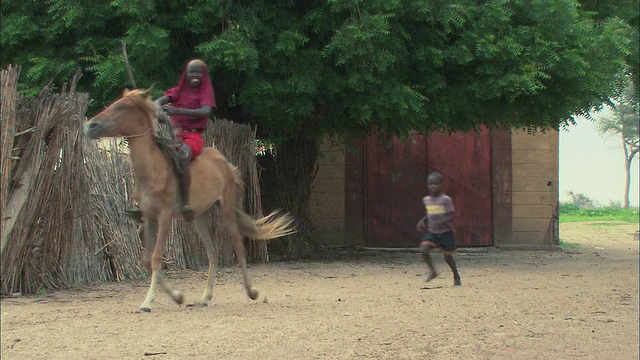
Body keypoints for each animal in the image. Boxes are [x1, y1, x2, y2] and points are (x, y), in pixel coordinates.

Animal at [83, 88, 296, 312]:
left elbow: (156, 257)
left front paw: (149, 301)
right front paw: (177, 297)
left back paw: (252, 291)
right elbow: (146, 259)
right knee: (213, 252)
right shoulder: (149, 218)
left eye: (121, 107)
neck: (153, 169)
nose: (90, 126)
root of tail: (226, 164)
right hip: (199, 216)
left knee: (239, 248)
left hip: (227, 211)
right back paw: (204, 297)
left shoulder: (165, 218)